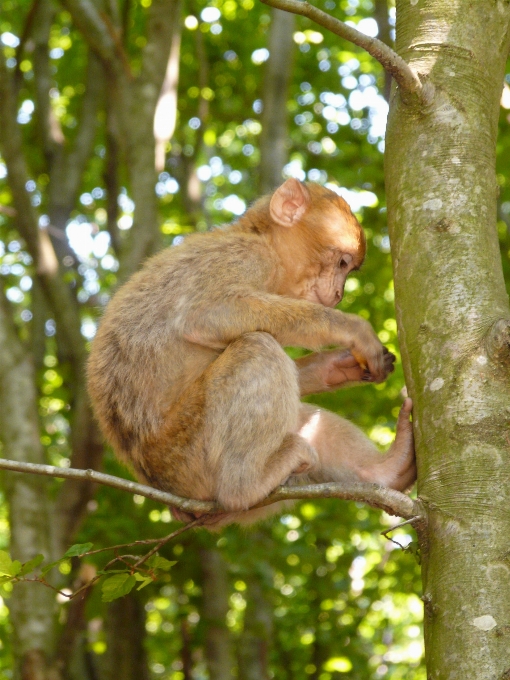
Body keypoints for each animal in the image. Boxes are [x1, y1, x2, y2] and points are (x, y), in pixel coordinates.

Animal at [86, 178, 414, 524]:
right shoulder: (247, 257)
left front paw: (335, 367)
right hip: (185, 457)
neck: (259, 239)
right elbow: (206, 313)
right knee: (257, 347)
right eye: (341, 263)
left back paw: (389, 469)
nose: (338, 293)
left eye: (349, 270)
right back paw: (243, 487)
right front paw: (353, 330)